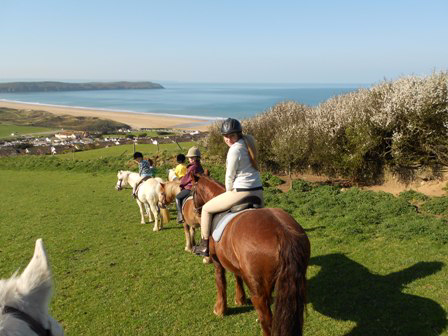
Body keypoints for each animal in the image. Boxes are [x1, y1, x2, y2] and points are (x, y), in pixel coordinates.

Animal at [191, 173, 310, 336]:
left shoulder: (217, 261)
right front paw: (240, 298)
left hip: (259, 292)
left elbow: (220, 282)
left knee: (267, 321)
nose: (196, 211)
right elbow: (237, 276)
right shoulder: (235, 263)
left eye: (192, 191)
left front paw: (220, 309)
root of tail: (283, 233)